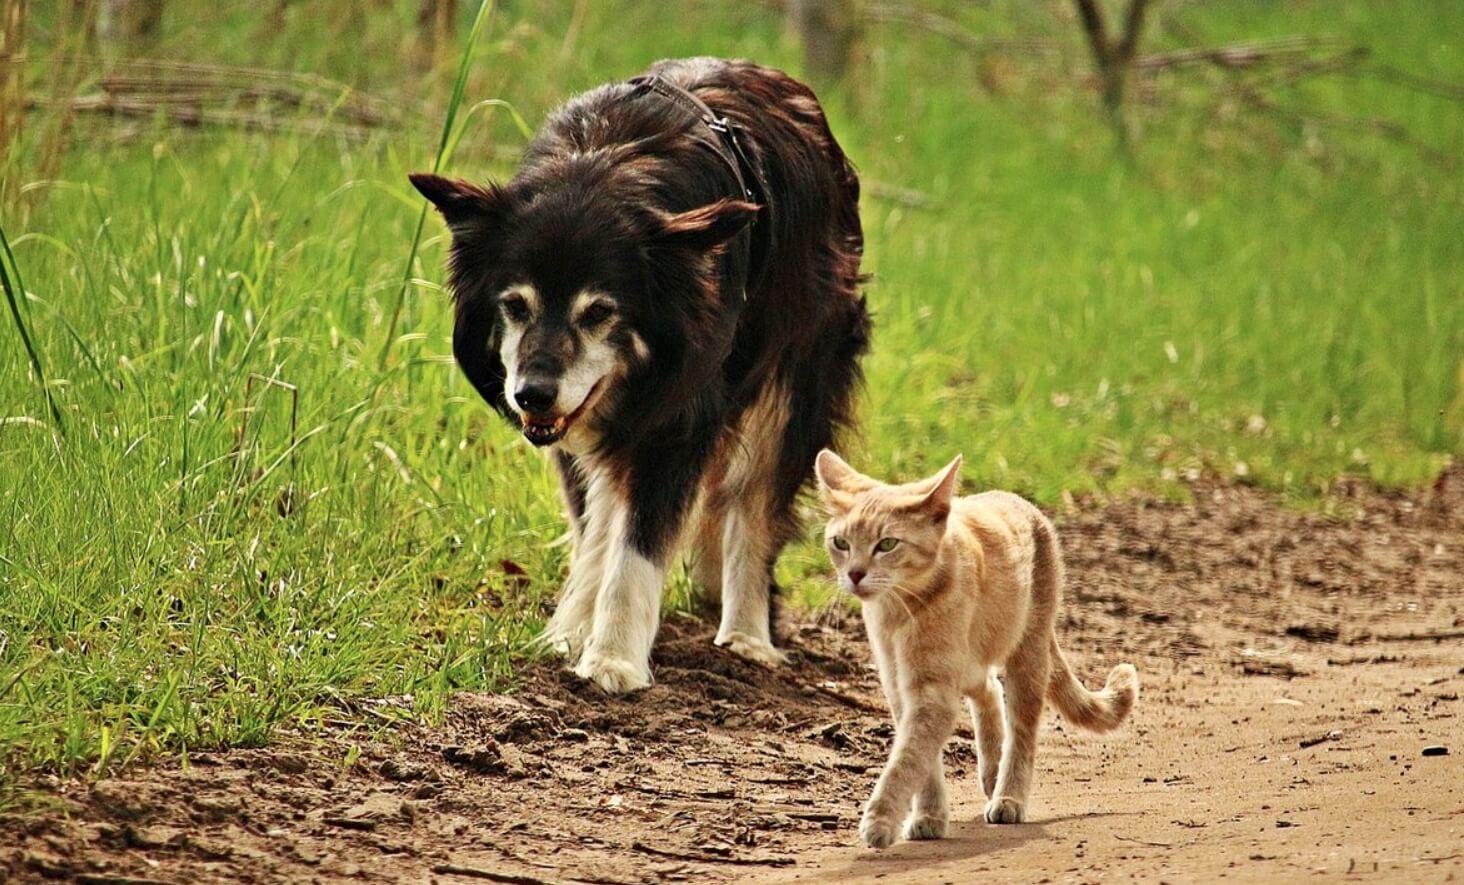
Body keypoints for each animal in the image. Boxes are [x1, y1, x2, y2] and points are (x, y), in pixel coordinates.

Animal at [412, 57, 866, 690]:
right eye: (515, 305)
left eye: (600, 312)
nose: (531, 396)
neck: (603, 165)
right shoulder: (581, 423)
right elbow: (597, 531)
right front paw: (570, 633)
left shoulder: (677, 419)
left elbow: (639, 545)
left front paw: (613, 659)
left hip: (793, 385)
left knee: (754, 508)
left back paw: (747, 636)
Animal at [819, 453, 1136, 848]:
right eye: (841, 543)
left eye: (887, 544)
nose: (855, 574)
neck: (897, 611)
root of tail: (1016, 499)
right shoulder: (900, 687)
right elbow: (923, 761)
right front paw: (928, 815)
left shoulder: (931, 691)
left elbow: (907, 759)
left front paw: (881, 819)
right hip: (971, 664)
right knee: (989, 690)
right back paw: (991, 770)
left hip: (1027, 656)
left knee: (1021, 730)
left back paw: (1008, 795)